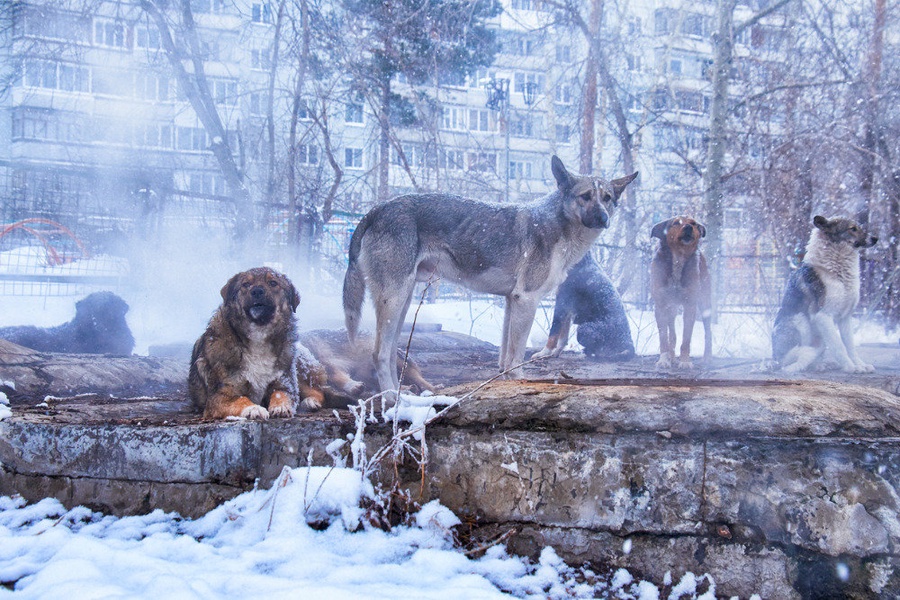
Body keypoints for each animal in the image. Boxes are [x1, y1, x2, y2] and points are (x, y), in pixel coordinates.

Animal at [342, 155, 636, 394]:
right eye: (585, 196)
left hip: (401, 304)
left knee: (391, 353)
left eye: (607, 198)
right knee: (379, 354)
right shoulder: (526, 300)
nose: (602, 218)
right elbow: (517, 356)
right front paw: (519, 380)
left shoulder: (511, 301)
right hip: (394, 300)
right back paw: (392, 398)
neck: (557, 225)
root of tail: (376, 210)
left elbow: (505, 357)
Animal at [652, 213, 712, 368]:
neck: (678, 257)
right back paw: (672, 357)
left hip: (705, 302)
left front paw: (685, 361)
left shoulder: (690, 305)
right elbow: (664, 337)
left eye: (694, 223)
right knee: (672, 333)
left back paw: (707, 358)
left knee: (708, 331)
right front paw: (664, 360)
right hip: (671, 308)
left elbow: (686, 338)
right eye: (675, 223)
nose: (688, 227)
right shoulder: (661, 305)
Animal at [772, 216, 880, 372]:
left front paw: (860, 365)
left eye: (859, 227)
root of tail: (774, 358)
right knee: (791, 361)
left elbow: (850, 346)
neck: (837, 272)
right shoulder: (822, 315)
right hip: (800, 321)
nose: (876, 238)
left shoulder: (845, 318)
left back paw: (822, 365)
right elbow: (839, 346)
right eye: (853, 229)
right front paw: (851, 367)